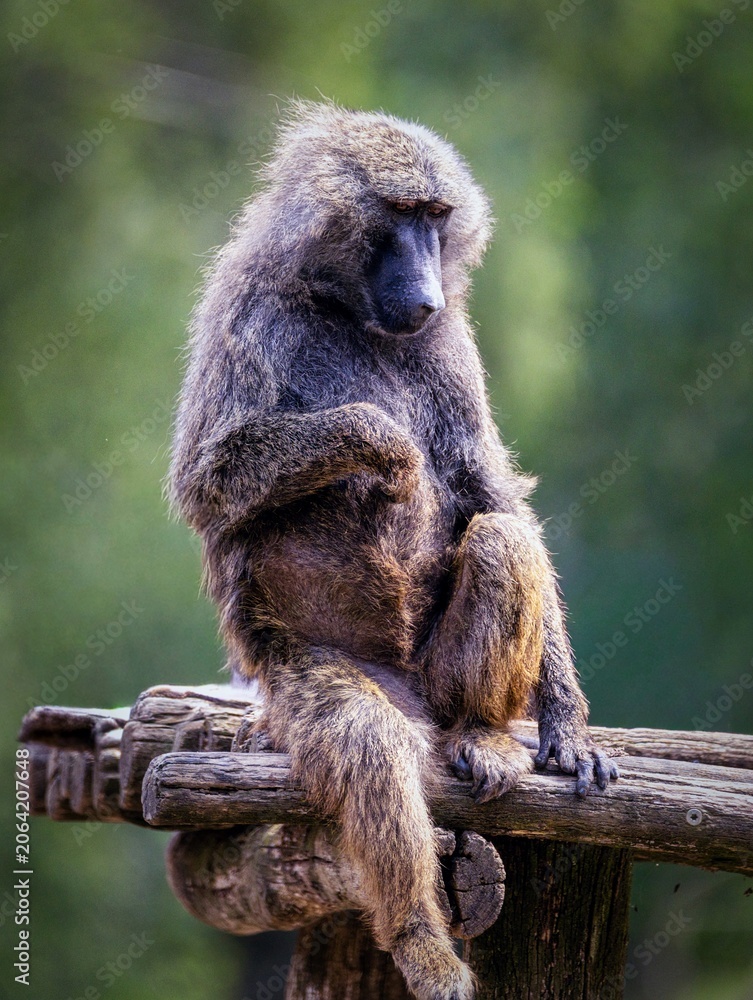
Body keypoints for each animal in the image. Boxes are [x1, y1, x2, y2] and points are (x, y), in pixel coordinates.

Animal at [168, 100, 618, 1000]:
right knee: (369, 746)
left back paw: (483, 736)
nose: (429, 291)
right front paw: (388, 452)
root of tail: (419, 702)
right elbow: (209, 480)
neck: (344, 307)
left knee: (502, 539)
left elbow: (488, 491)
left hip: (441, 680)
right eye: (399, 216)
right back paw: (422, 943)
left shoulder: (450, 345)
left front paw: (567, 726)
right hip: (317, 679)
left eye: (436, 218)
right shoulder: (244, 310)